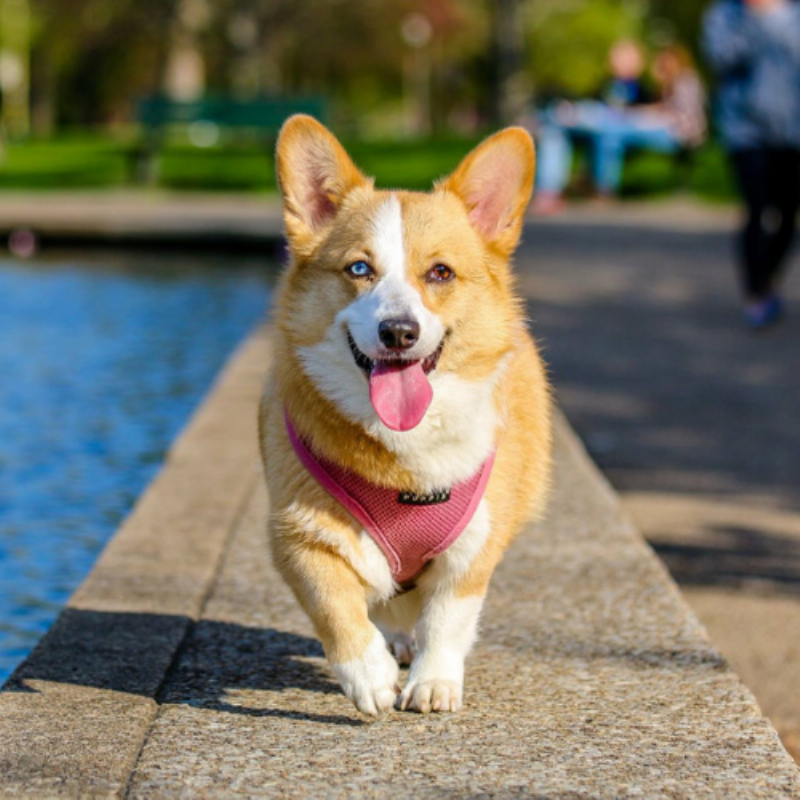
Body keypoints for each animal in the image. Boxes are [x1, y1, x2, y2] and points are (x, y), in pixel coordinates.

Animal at [260, 115, 552, 716]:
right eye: (359, 268)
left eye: (440, 272)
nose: (399, 332)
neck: (405, 453)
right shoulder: (298, 535)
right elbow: (335, 606)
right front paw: (368, 675)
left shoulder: (474, 547)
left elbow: (447, 618)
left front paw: (433, 683)